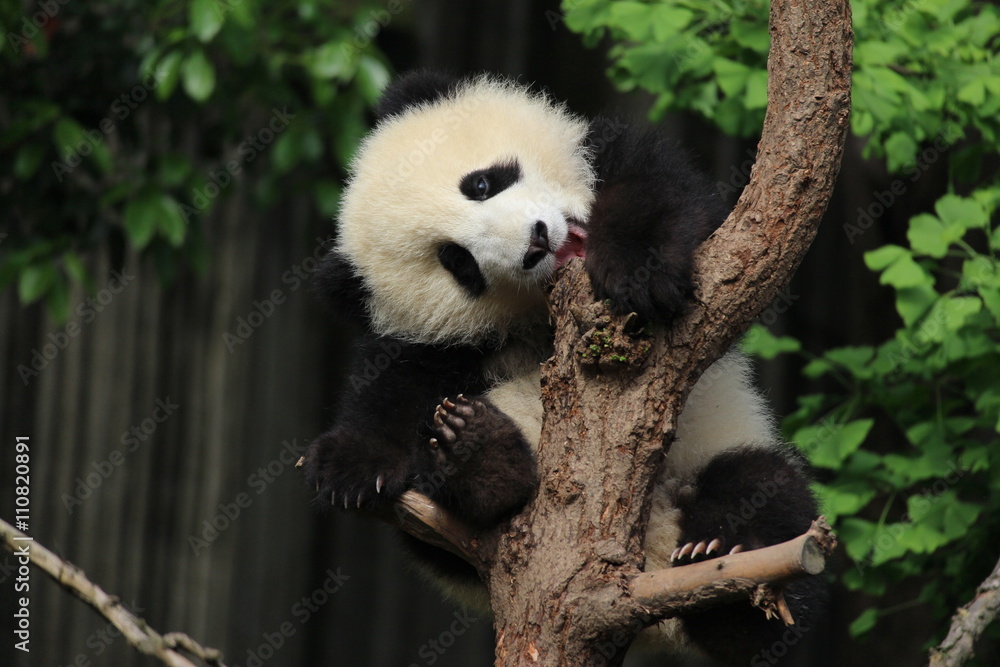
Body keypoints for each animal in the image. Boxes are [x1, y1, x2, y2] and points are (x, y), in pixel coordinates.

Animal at [302, 70, 822, 664]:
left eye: (481, 184)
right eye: (457, 262)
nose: (535, 244)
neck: (540, 321)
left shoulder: (621, 163)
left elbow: (657, 193)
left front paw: (637, 272)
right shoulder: (435, 346)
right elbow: (395, 384)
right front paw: (351, 463)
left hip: (723, 453)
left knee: (763, 493)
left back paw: (720, 563)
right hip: (443, 539)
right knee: (437, 532)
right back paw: (478, 453)